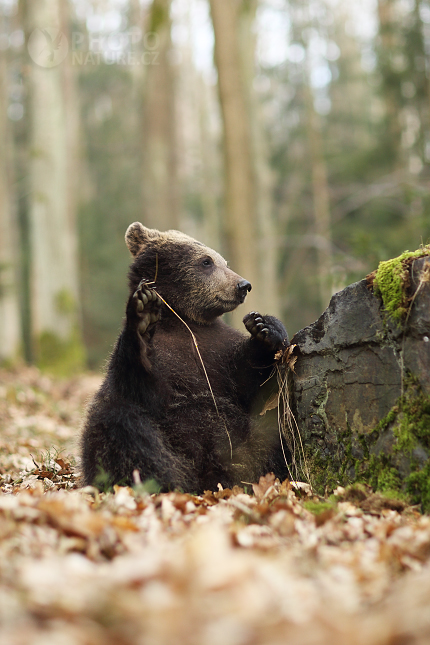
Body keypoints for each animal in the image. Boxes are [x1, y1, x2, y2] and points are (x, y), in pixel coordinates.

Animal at [80, 224, 288, 490]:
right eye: (206, 261)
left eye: (224, 261)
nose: (243, 285)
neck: (184, 321)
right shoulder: (165, 365)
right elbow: (142, 382)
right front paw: (143, 314)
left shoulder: (218, 350)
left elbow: (246, 383)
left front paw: (264, 327)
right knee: (122, 427)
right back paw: (161, 481)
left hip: (245, 439)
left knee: (274, 434)